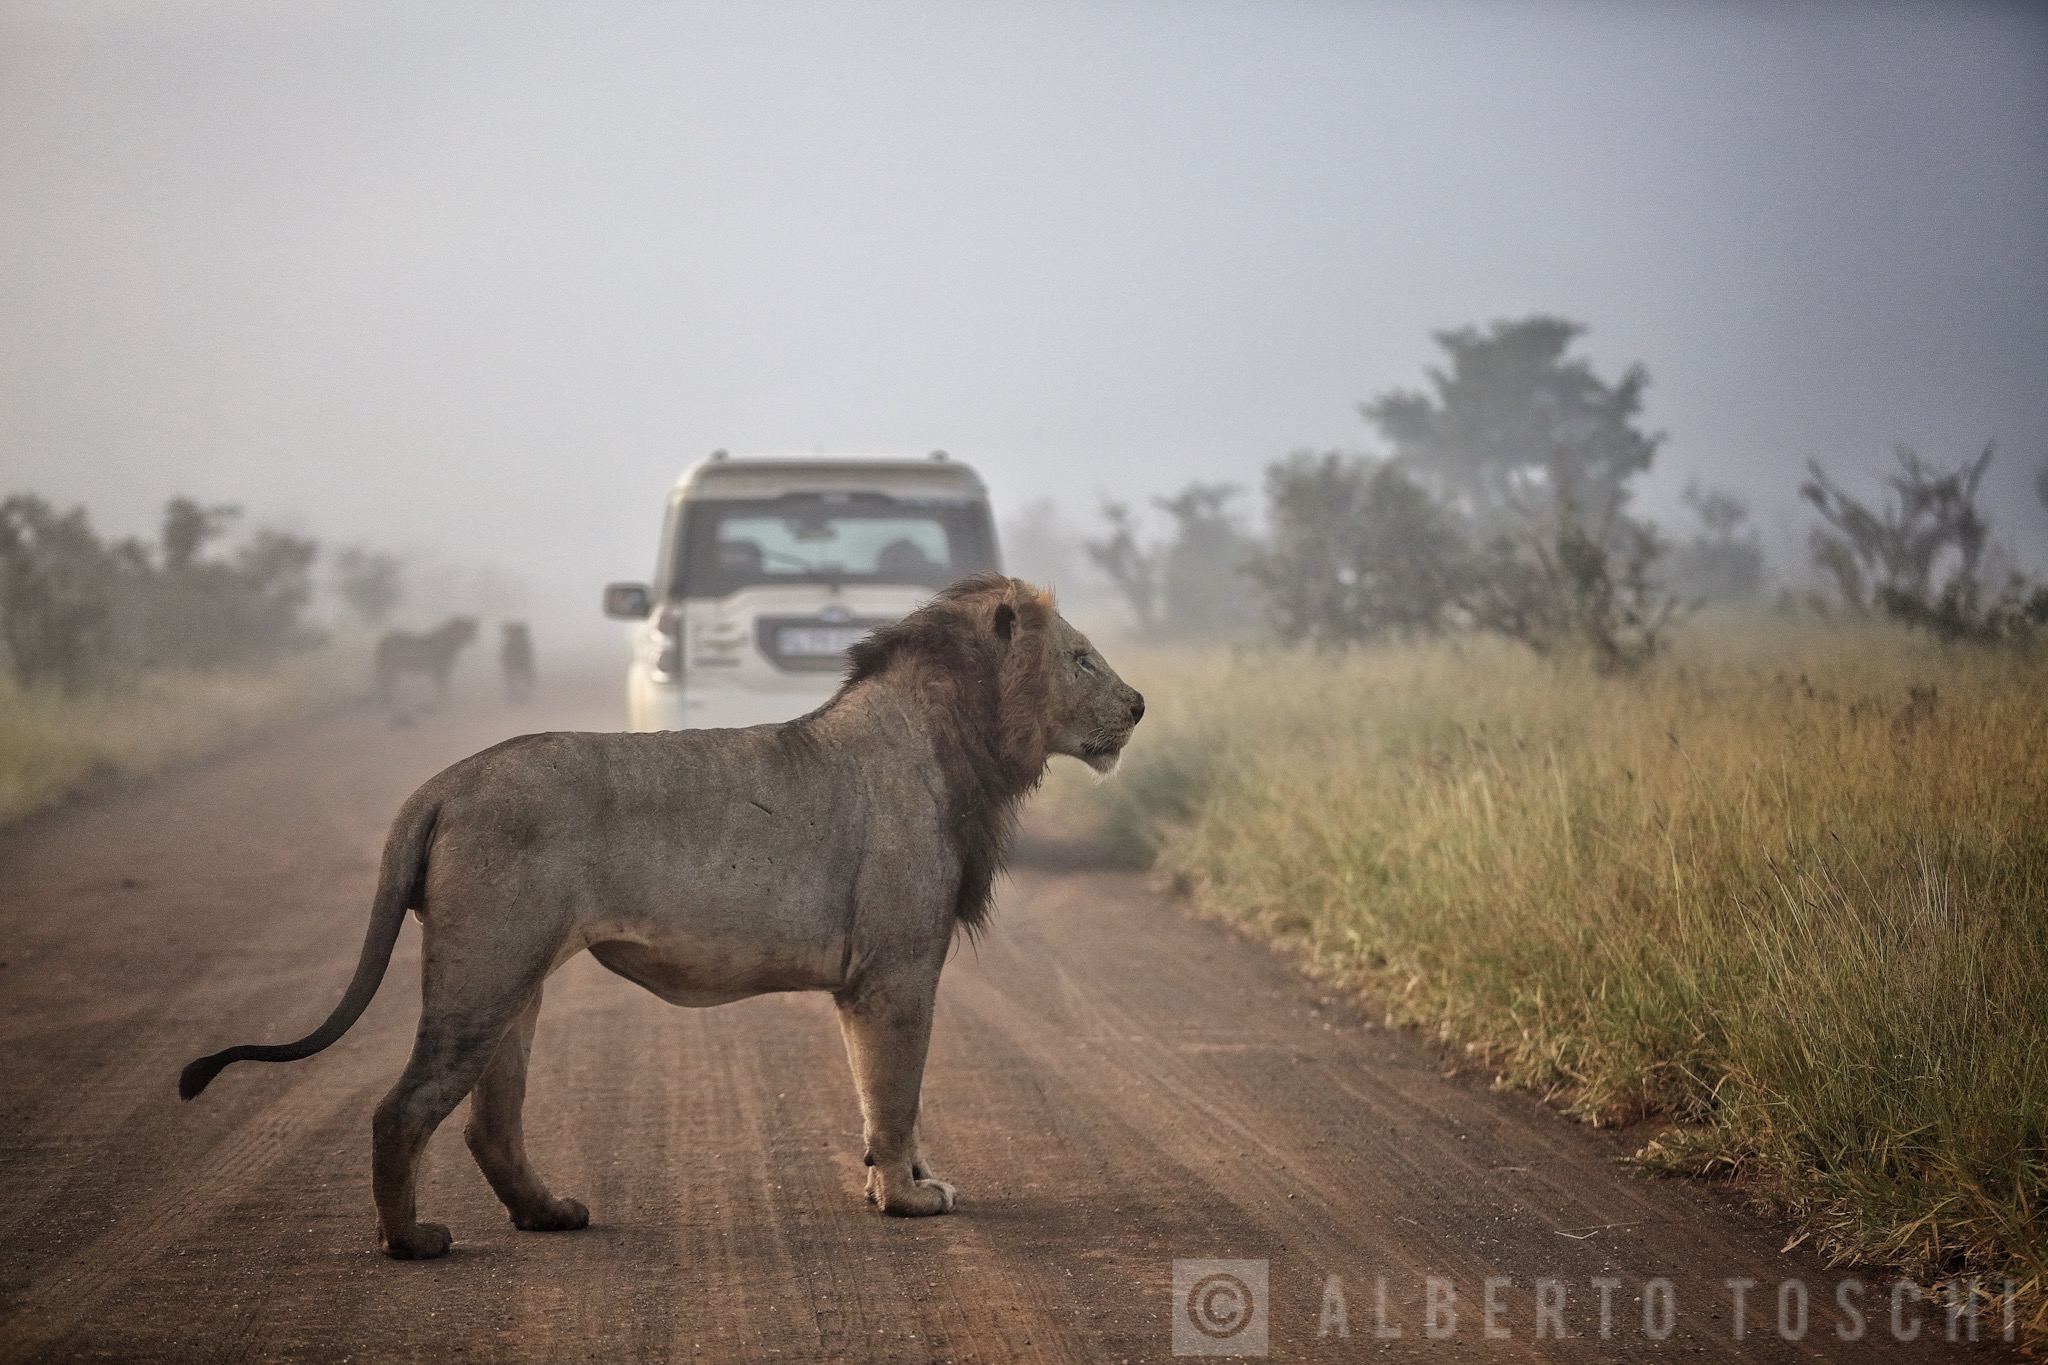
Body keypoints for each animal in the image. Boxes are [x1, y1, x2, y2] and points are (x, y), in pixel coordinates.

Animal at [180, 574, 1143, 1260]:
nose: (1139, 705)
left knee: (491, 1120)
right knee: (404, 1106)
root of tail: (444, 781)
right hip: (485, 968)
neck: (959, 738)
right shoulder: (898, 969)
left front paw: (893, 1186)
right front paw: (910, 1199)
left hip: (516, 978)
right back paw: (410, 1242)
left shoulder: (869, 981)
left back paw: (549, 1213)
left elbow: (877, 1093)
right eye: (1083, 658)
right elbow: (895, 1093)